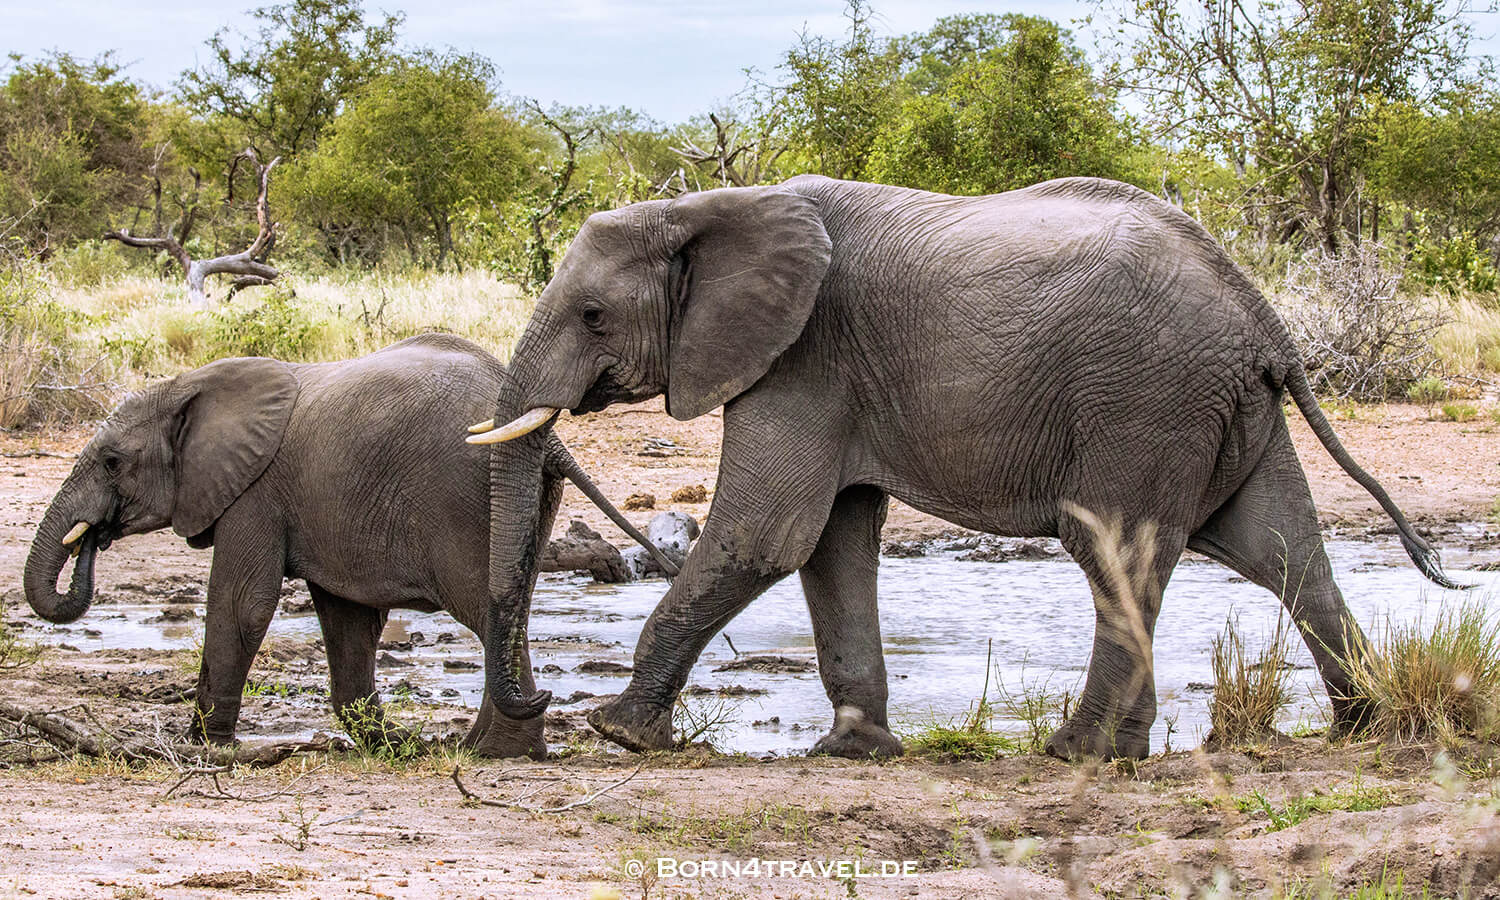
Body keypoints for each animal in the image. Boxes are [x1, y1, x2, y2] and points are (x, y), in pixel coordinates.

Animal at [23, 334, 674, 759]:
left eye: (112, 462)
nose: (92, 537)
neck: (187, 386)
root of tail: (542, 426)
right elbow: (345, 618)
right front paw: (386, 743)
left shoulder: (254, 494)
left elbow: (242, 604)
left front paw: (208, 747)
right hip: (527, 498)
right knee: (511, 607)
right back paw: (483, 749)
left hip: (463, 498)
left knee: (488, 611)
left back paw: (499, 752)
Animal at [466, 175, 1461, 761]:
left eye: (593, 316)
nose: (535, 706)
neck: (709, 206)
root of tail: (1259, 309)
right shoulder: (830, 375)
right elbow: (832, 541)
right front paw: (854, 753)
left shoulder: (804, 359)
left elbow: (766, 533)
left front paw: (620, 734)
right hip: (1220, 407)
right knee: (1283, 551)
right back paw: (1354, 726)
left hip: (1146, 396)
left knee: (1116, 552)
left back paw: (1076, 752)